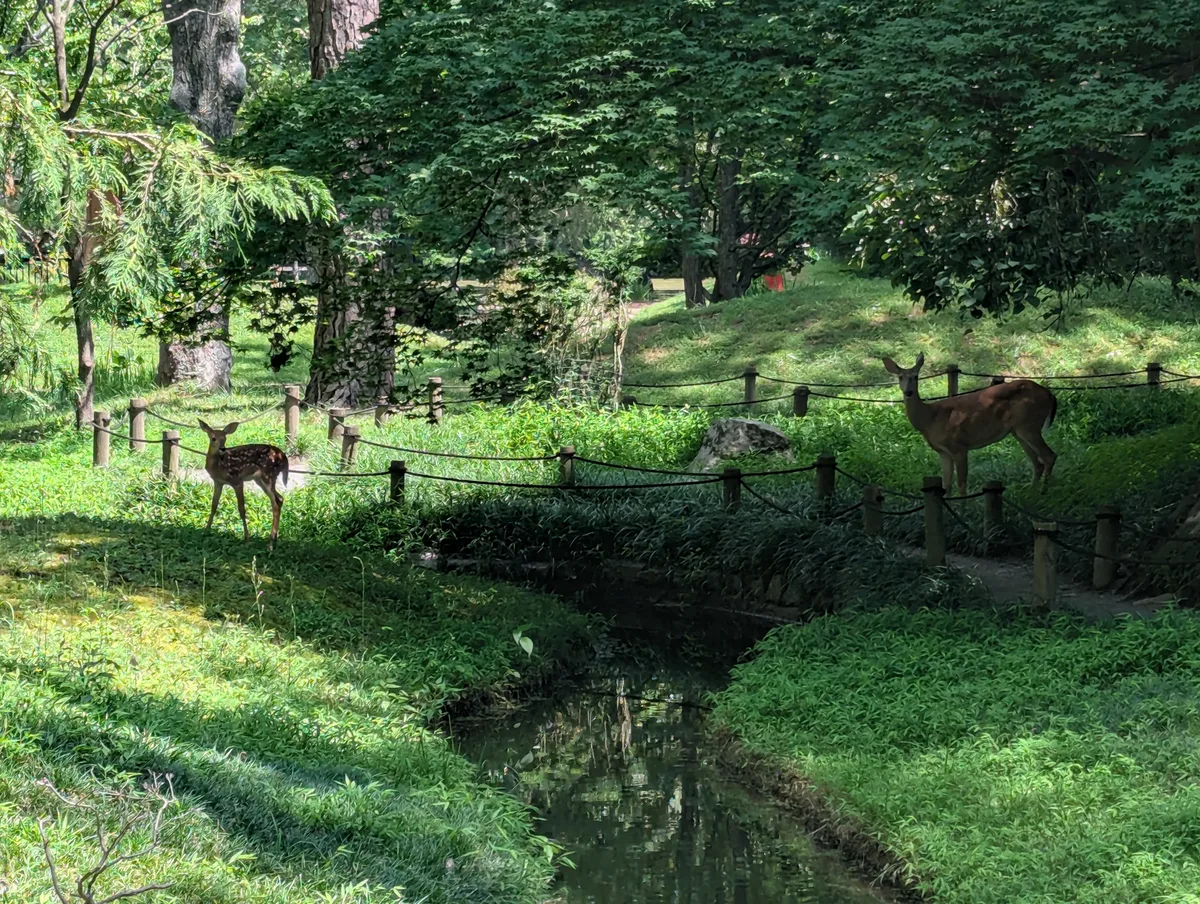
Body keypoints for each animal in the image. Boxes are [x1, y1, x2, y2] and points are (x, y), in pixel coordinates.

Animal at [882, 354, 1058, 495]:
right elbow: (946, 485)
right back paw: (1031, 493)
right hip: (1018, 430)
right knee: (1038, 463)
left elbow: (961, 486)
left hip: (1029, 425)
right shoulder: (943, 452)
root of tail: (1049, 394)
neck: (930, 419)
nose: (908, 392)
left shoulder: (959, 446)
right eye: (900, 377)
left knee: (1049, 456)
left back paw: (1043, 493)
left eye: (916, 376)